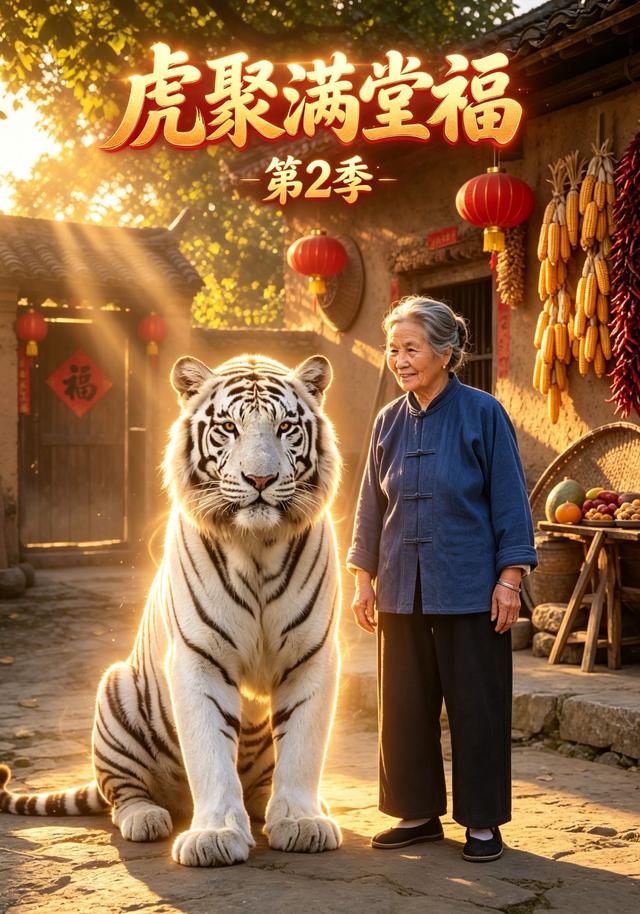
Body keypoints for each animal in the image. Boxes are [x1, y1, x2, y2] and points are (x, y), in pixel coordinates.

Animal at [0, 353, 343, 867]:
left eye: (285, 426)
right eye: (228, 427)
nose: (260, 480)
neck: (257, 546)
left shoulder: (312, 653)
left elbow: (303, 745)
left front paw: (301, 822)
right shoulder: (199, 656)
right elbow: (209, 752)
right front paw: (214, 836)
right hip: (114, 689)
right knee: (123, 793)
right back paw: (148, 818)